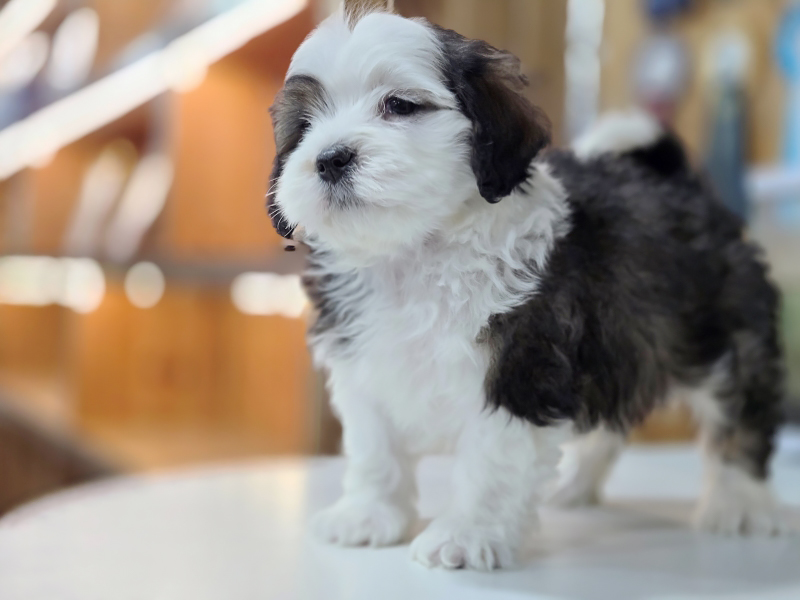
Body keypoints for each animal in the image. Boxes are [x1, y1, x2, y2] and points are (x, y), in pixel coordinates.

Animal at [266, 3, 787, 570]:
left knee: (739, 411)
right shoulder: (364, 365)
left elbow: (491, 460)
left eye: (400, 106)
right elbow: (374, 446)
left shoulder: (521, 367)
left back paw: (739, 501)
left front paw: (466, 534)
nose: (330, 158)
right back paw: (578, 484)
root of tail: (680, 183)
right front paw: (368, 515)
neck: (418, 249)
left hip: (725, 336)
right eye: (304, 127)